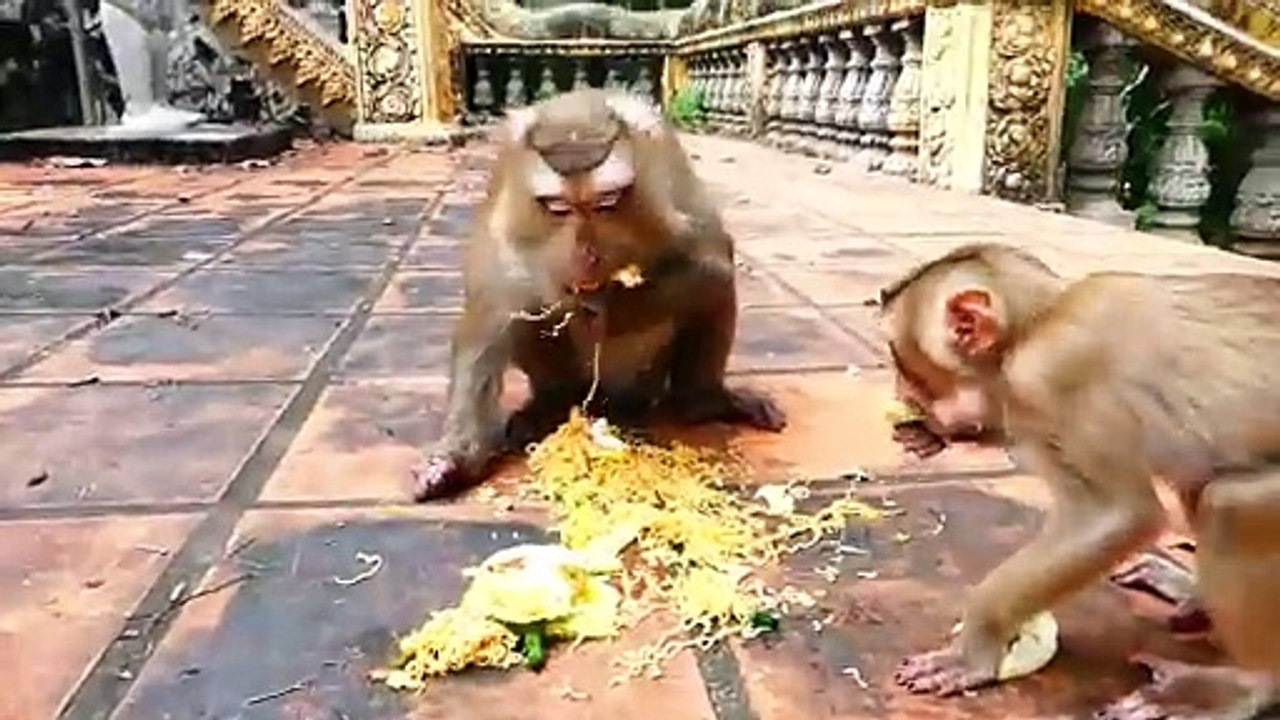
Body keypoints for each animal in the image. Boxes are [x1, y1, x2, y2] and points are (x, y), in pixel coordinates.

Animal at [410, 89, 786, 503]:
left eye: (606, 202)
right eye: (558, 207)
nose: (587, 257)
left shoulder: (661, 160)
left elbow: (711, 261)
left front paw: (598, 305)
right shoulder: (509, 180)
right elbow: (497, 300)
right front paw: (455, 460)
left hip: (644, 380)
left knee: (714, 294)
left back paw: (704, 400)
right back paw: (550, 404)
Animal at [877, 242, 1280, 720]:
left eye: (906, 367)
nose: (902, 396)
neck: (1039, 321)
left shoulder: (1052, 376)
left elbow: (1115, 516)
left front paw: (977, 644)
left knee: (1230, 505)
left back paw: (1250, 684)